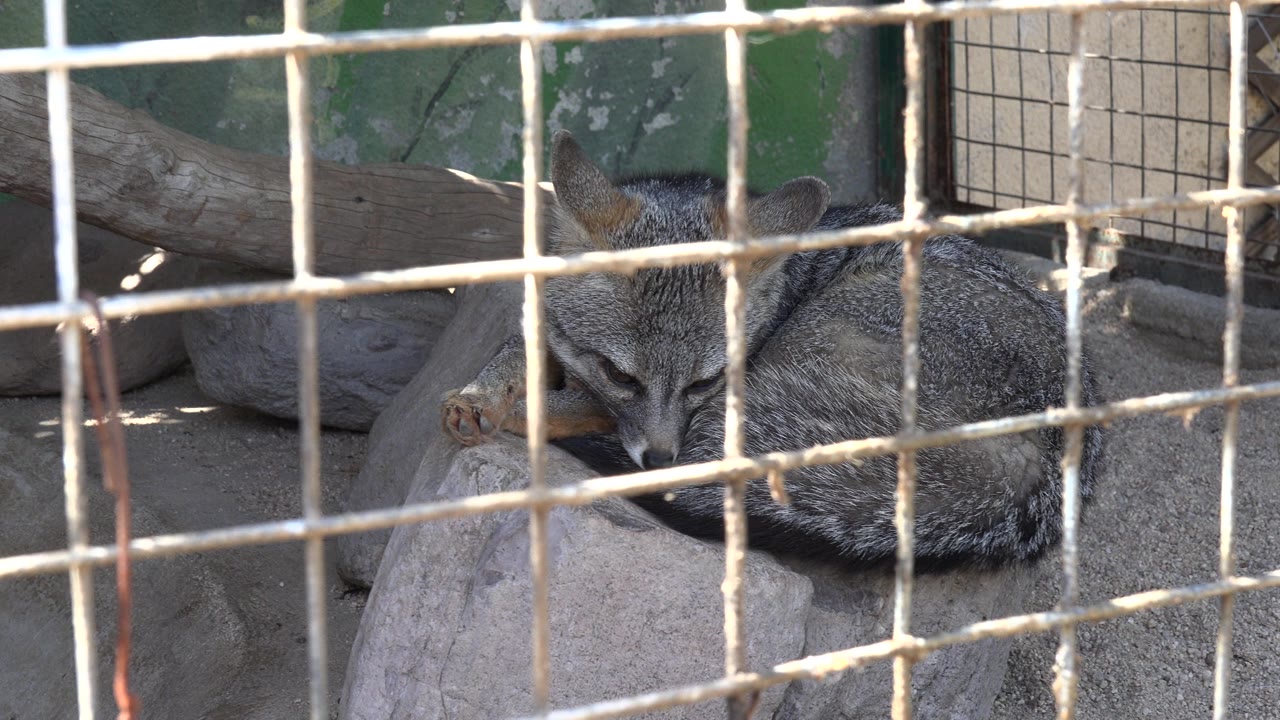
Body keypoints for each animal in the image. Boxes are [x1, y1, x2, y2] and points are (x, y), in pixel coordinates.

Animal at [440, 130, 1104, 568]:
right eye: (619, 373)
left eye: (703, 382)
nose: (658, 459)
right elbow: (519, 350)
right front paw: (480, 395)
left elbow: (575, 405)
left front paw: (521, 410)